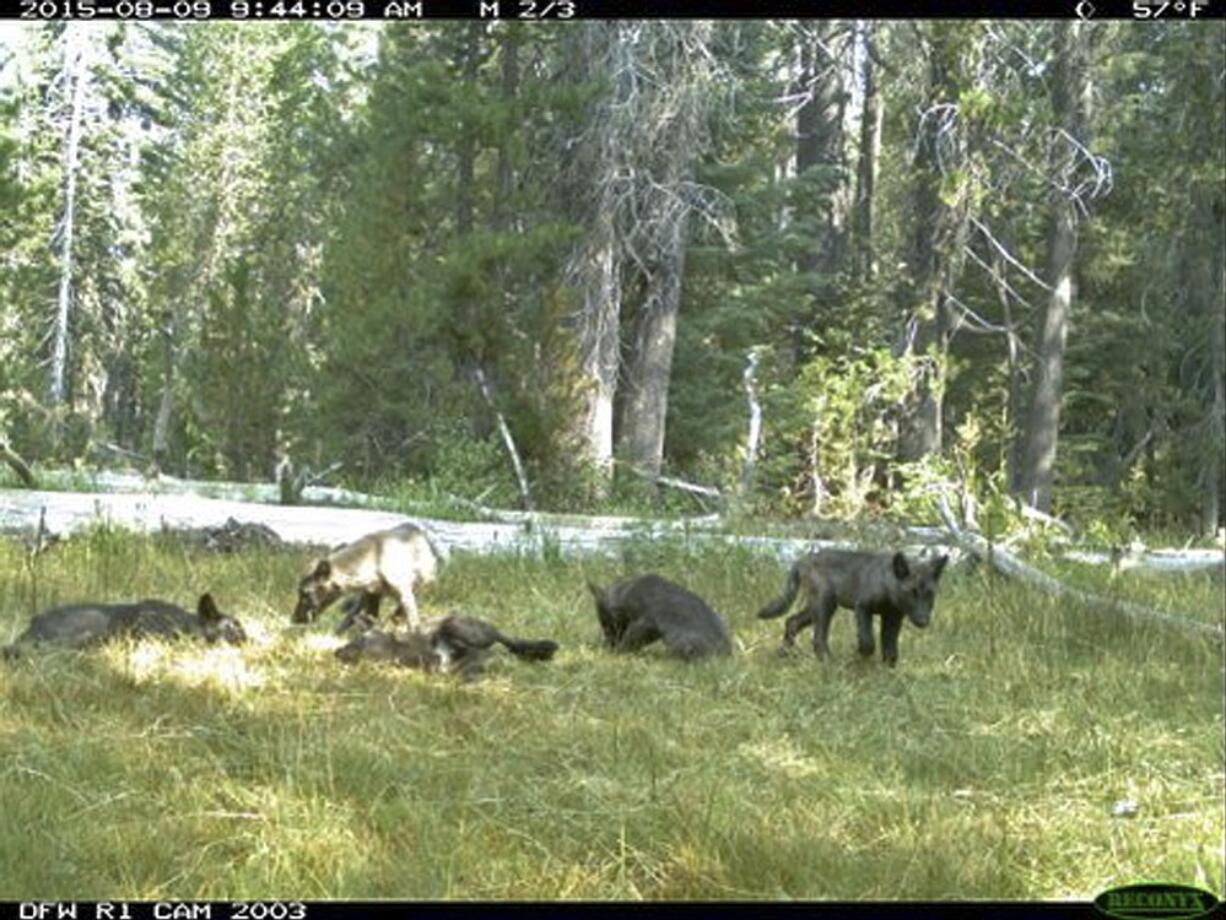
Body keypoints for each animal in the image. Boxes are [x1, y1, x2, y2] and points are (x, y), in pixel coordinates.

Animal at [291, 522, 441, 637]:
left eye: (305, 593)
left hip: (421, 584)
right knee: (351, 616)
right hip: (365, 598)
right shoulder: (372, 595)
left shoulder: (404, 593)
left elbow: (412, 623)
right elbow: (368, 622)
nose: (294, 619)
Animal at [755, 547, 946, 672]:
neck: (887, 585)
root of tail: (804, 560)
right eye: (911, 593)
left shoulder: (892, 618)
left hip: (816, 608)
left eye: (930, 594)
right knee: (818, 638)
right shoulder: (862, 607)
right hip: (824, 605)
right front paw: (860, 658)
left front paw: (888, 672)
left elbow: (890, 648)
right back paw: (829, 663)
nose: (923, 621)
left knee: (792, 621)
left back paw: (782, 654)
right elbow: (868, 642)